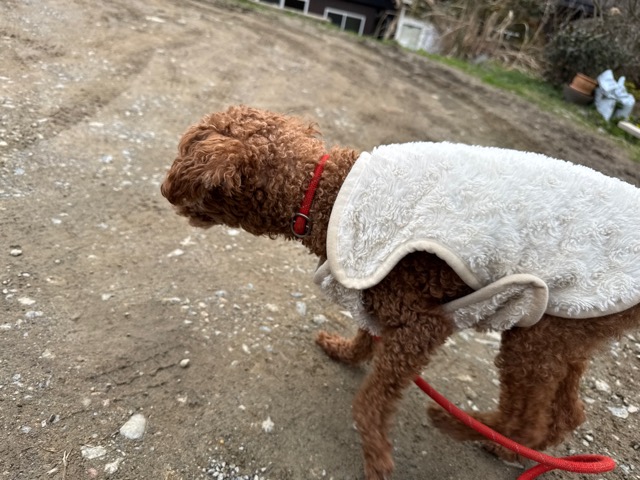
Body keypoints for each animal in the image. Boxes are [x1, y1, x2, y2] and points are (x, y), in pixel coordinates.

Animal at [161, 105, 640, 480]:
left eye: (183, 156)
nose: (163, 189)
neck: (322, 192)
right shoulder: (370, 284)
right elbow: (364, 334)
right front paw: (343, 351)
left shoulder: (419, 324)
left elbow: (370, 402)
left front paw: (376, 457)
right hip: (570, 326)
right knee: (568, 411)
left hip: (538, 333)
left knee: (530, 420)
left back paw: (466, 428)